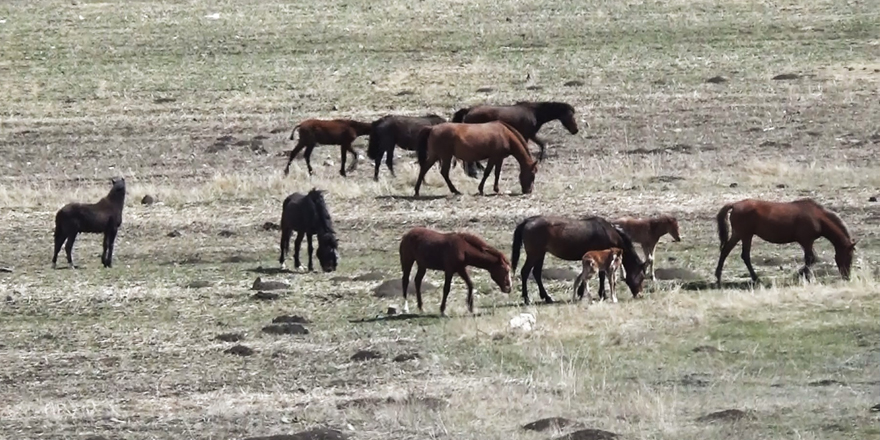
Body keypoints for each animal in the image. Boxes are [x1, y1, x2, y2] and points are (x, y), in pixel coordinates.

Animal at [450, 100, 580, 161]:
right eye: (570, 116)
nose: (575, 130)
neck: (534, 113)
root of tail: (469, 110)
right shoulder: (528, 135)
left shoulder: (530, 134)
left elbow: (542, 144)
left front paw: (541, 158)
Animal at [508, 214, 648, 304]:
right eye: (642, 277)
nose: (640, 295)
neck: (608, 233)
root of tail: (528, 221)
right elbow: (602, 276)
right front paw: (601, 294)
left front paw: (582, 293)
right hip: (534, 254)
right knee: (525, 272)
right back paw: (527, 299)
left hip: (540, 254)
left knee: (536, 273)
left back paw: (547, 297)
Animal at [712, 199, 856, 288]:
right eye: (849, 256)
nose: (847, 277)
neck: (817, 217)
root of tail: (735, 205)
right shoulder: (806, 241)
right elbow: (810, 258)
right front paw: (801, 275)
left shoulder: (807, 242)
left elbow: (811, 259)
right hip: (746, 235)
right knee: (744, 255)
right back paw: (756, 279)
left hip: (739, 235)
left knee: (725, 251)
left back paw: (718, 278)